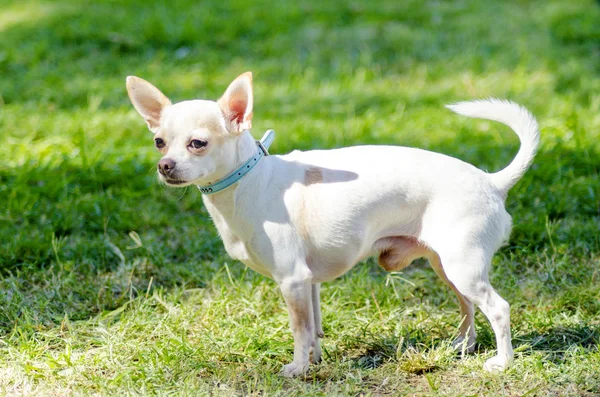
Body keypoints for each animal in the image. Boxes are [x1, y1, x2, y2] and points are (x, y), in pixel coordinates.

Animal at [125, 72, 540, 376]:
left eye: (197, 143)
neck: (249, 180)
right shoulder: (307, 282)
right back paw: (463, 346)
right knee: (469, 307)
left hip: (461, 266)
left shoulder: (292, 279)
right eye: (159, 142)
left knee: (498, 308)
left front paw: (296, 369)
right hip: (448, 267)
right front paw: (314, 360)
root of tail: (492, 182)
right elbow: (313, 328)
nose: (164, 165)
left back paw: (502, 363)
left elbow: (299, 328)